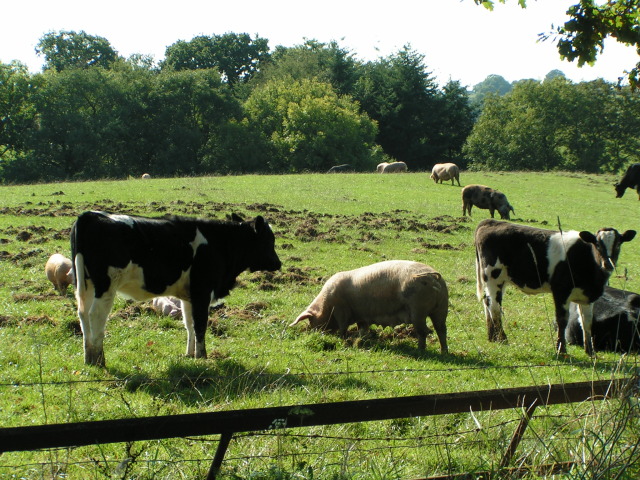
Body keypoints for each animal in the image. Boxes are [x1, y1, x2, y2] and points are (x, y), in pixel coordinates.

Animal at [71, 212, 282, 366]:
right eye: (269, 241)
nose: (278, 263)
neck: (218, 243)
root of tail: (90, 215)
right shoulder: (202, 292)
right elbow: (200, 324)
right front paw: (202, 356)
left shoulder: (189, 296)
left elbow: (189, 324)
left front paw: (189, 354)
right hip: (106, 286)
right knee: (96, 316)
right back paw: (99, 360)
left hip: (86, 285)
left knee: (83, 315)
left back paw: (89, 358)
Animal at [476, 218, 636, 356]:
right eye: (597, 244)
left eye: (618, 244)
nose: (608, 264)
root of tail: (491, 222)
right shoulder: (561, 291)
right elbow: (562, 320)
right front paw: (561, 350)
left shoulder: (588, 296)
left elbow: (587, 322)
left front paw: (590, 352)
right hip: (493, 277)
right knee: (495, 307)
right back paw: (502, 339)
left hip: (501, 280)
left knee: (488, 303)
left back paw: (492, 337)